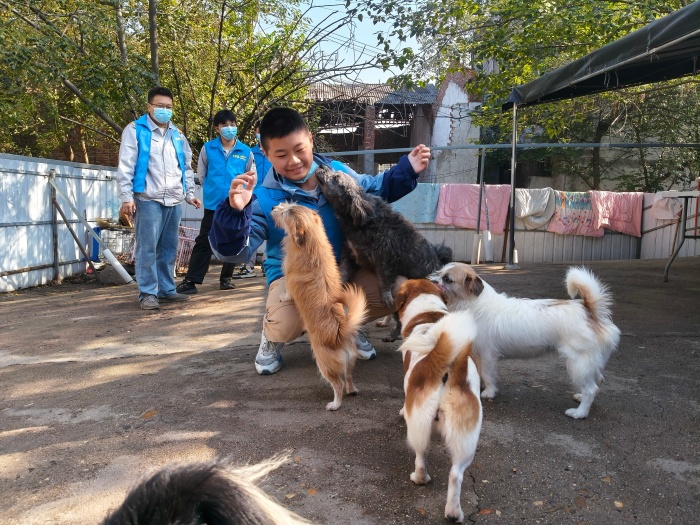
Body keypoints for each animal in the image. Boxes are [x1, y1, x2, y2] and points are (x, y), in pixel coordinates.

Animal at [272, 202, 367, 411]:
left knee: (338, 384)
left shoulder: (289, 281)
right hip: (350, 361)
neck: (311, 242)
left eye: (285, 213)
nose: (275, 207)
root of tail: (341, 331)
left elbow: (287, 293)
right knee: (348, 377)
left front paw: (282, 297)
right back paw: (352, 390)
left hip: (324, 364)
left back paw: (334, 404)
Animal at [314, 167, 453, 313]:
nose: (322, 166)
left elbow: (383, 282)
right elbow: (342, 273)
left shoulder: (386, 262)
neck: (364, 221)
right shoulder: (349, 256)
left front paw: (386, 297)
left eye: (336, 178)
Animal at [394, 279, 483, 523]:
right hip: (467, 439)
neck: (427, 310)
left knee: (420, 456)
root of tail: (449, 369)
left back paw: (419, 478)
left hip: (417, 425)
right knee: (456, 475)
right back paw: (453, 513)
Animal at [430, 263, 621, 419]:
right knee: (598, 380)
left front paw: (489, 392)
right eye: (439, 272)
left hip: (578, 363)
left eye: (447, 279)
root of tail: (589, 310)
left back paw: (580, 413)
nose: (430, 279)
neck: (474, 304)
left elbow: (487, 374)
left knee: (592, 389)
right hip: (589, 362)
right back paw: (581, 398)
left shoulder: (486, 354)